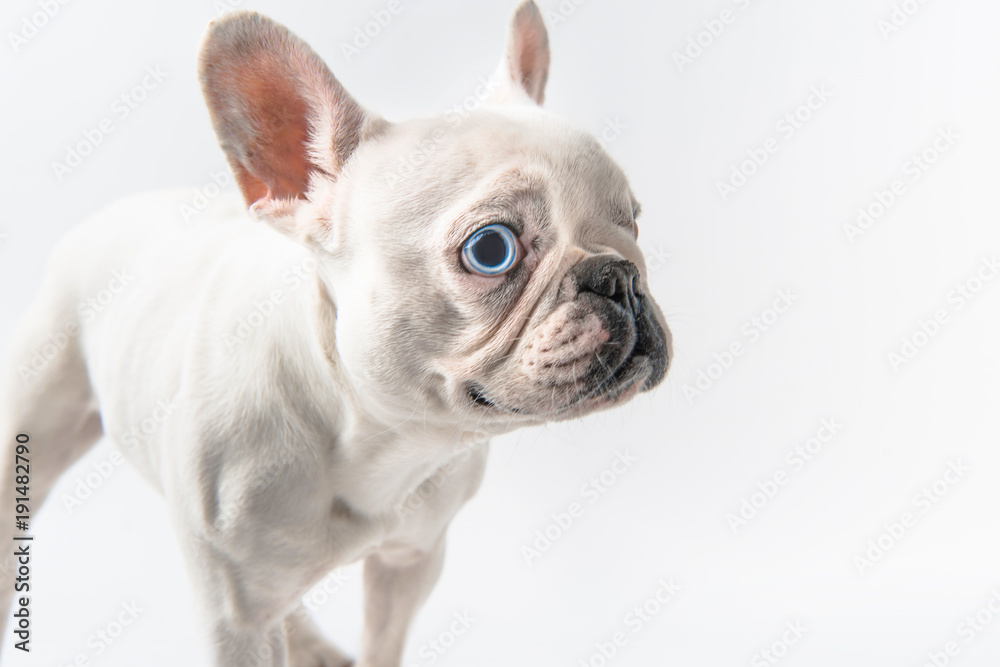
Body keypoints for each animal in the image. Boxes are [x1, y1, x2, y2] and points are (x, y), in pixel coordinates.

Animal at [1, 2, 672, 664]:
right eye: (491, 249)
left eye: (634, 221)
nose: (619, 277)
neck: (374, 434)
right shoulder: (232, 621)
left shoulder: (411, 563)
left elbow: (381, 644)